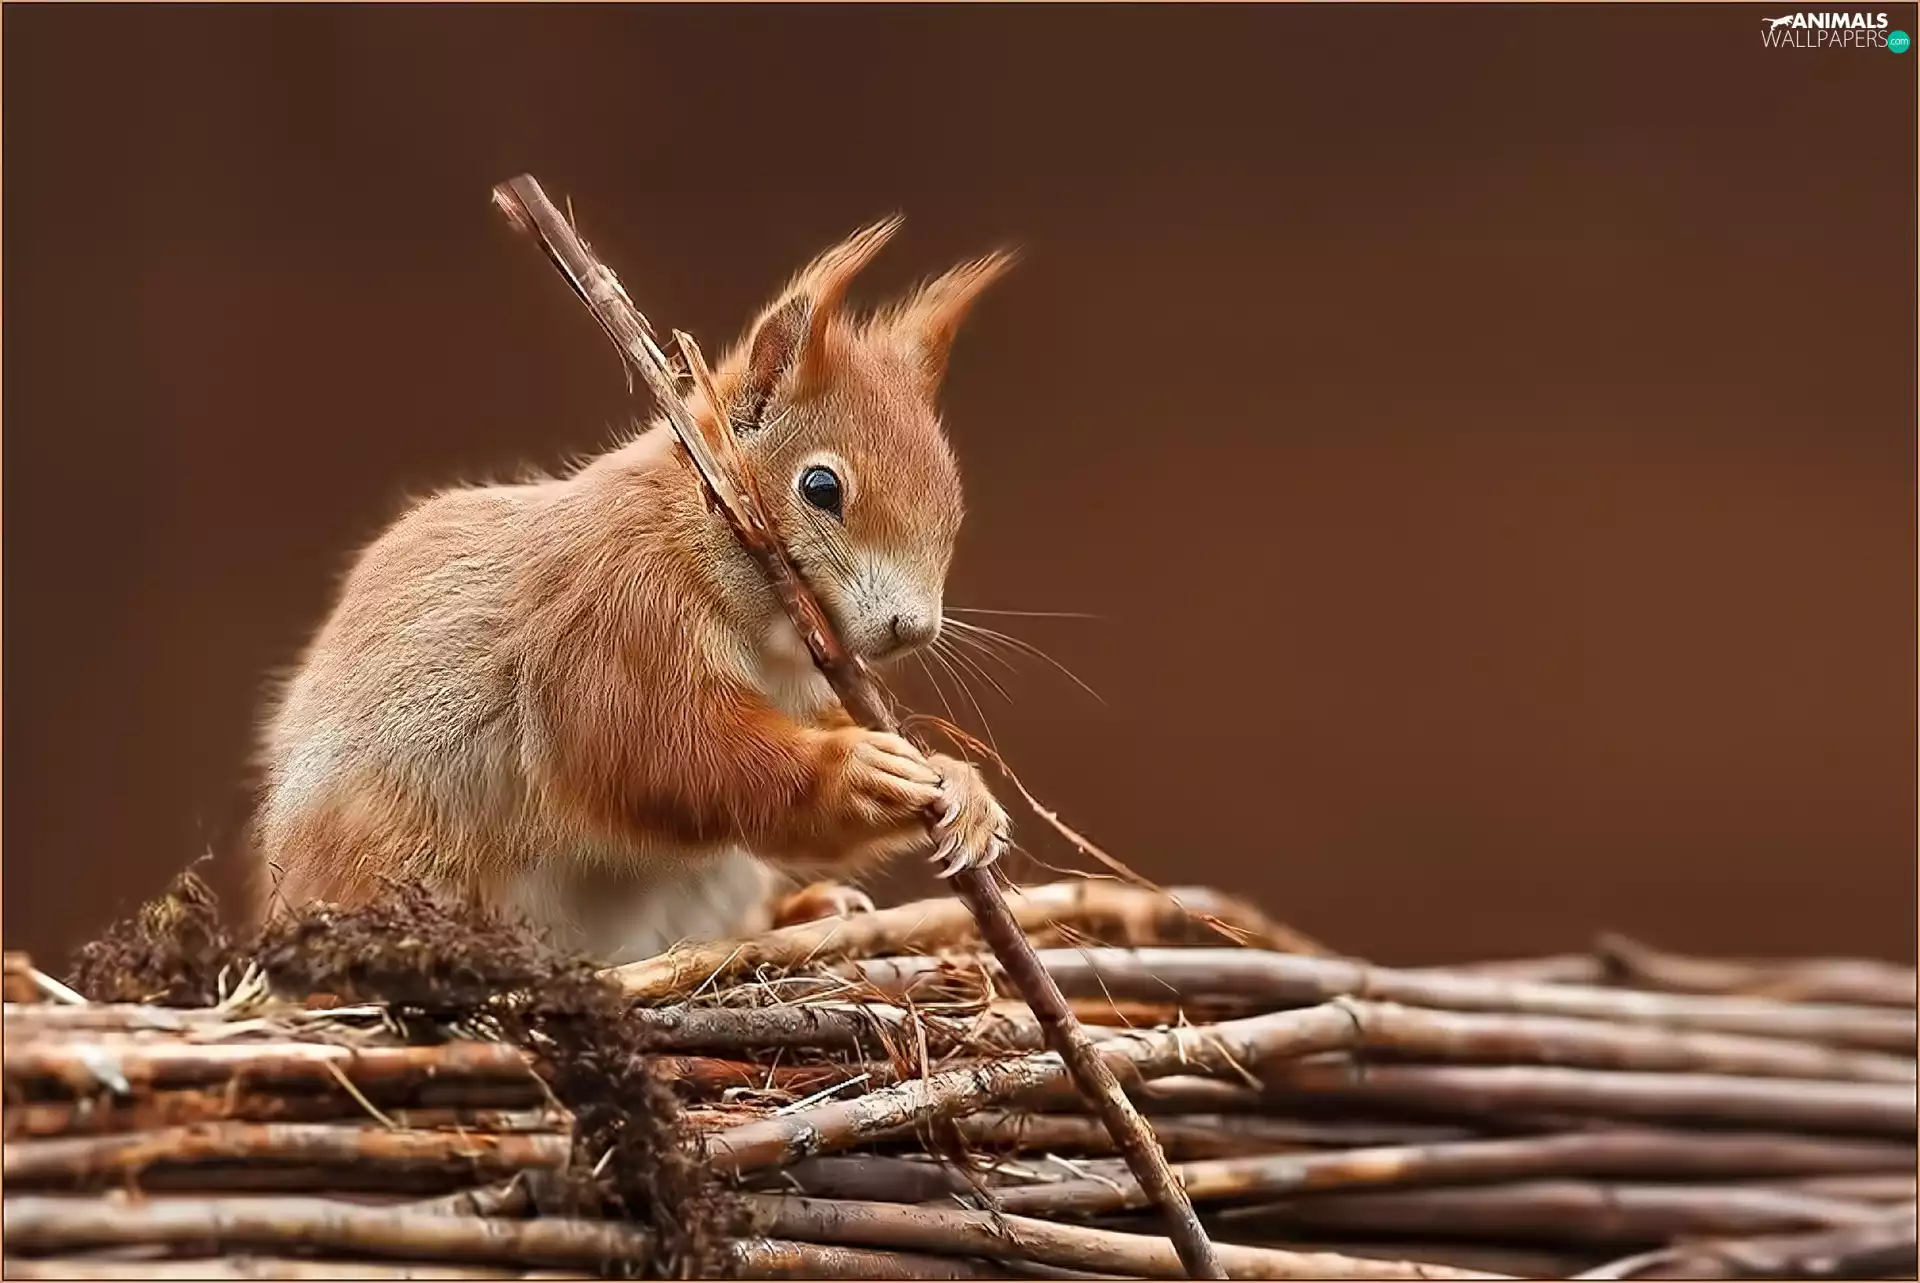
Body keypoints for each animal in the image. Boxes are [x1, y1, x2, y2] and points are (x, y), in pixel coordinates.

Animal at [250, 217, 1014, 964]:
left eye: (953, 506)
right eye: (820, 487)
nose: (913, 627)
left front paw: (962, 785)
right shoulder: (617, 617)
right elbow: (662, 750)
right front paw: (854, 770)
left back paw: (810, 910)